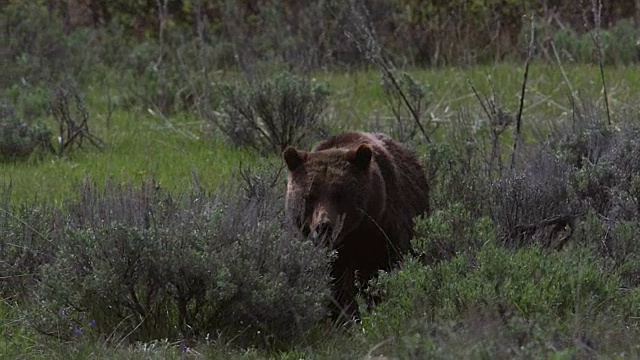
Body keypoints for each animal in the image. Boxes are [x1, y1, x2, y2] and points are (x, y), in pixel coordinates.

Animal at [282, 131, 428, 322]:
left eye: (339, 194)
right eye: (309, 196)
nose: (324, 226)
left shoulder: (383, 232)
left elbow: (383, 270)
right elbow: (336, 285)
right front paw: (343, 316)